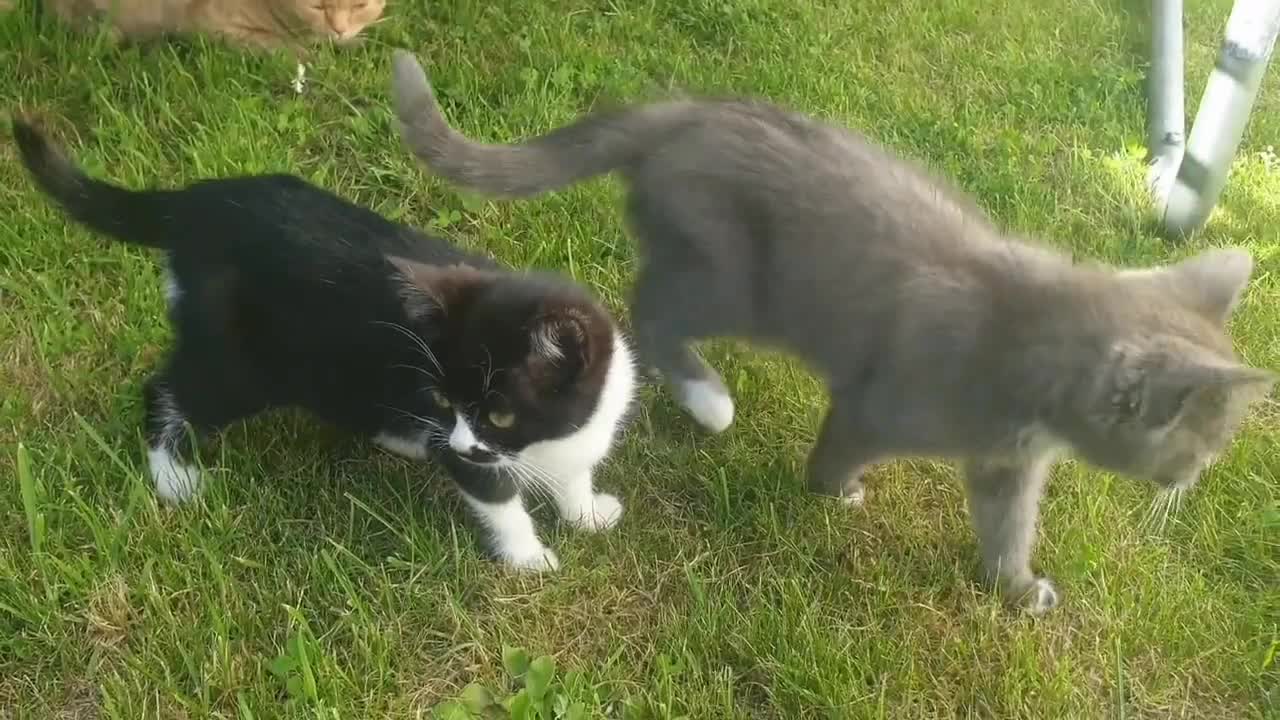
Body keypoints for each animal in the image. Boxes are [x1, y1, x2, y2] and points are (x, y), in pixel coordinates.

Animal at [12, 117, 637, 568]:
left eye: (501, 414)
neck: (548, 439)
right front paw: (530, 557)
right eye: (446, 401)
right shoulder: (476, 456)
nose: (455, 439)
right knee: (171, 387)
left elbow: (574, 473)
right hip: (244, 357)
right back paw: (172, 475)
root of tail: (197, 201)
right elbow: (498, 498)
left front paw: (586, 513)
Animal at [384, 50, 1274, 609]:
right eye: (1206, 441)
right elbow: (845, 442)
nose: (1196, 477)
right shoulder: (883, 401)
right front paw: (834, 489)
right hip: (734, 276)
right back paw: (706, 397)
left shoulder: (1006, 463)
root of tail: (684, 114)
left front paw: (1017, 589)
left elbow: (1005, 525)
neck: (1029, 344)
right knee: (653, 308)